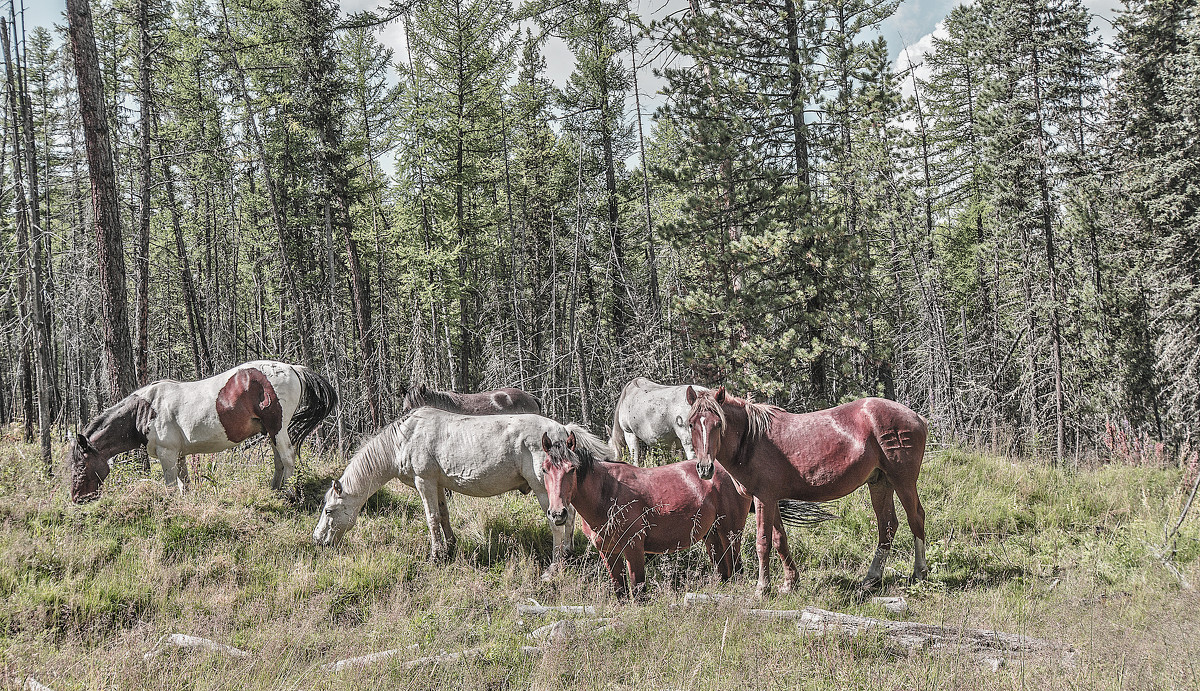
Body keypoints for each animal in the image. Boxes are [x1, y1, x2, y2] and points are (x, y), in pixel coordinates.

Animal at [69, 362, 338, 501]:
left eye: (80, 466)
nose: (77, 499)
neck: (145, 410)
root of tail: (292, 368)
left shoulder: (167, 454)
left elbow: (170, 486)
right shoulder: (178, 455)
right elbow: (184, 483)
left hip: (278, 429)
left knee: (288, 459)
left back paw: (291, 492)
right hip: (271, 432)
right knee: (279, 461)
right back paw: (275, 490)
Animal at [312, 410, 609, 571]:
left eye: (329, 511)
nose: (317, 540)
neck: (405, 437)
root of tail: (561, 430)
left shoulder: (424, 482)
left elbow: (431, 519)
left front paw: (435, 556)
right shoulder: (438, 484)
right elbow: (443, 516)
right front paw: (450, 547)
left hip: (544, 490)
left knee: (559, 519)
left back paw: (556, 562)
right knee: (569, 517)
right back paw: (568, 553)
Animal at [686, 386, 926, 597]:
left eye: (718, 424)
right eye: (691, 424)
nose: (705, 468)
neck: (752, 440)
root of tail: (916, 417)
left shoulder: (763, 499)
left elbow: (763, 543)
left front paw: (762, 588)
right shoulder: (773, 500)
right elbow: (780, 540)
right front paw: (790, 583)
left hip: (903, 481)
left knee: (916, 518)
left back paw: (919, 573)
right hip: (880, 483)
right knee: (887, 526)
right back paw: (871, 579)